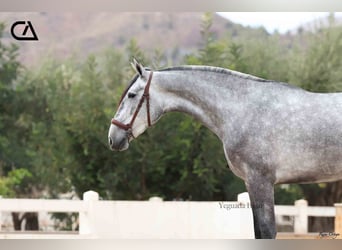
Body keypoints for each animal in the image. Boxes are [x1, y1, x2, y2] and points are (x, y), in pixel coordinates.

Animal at [108, 58, 342, 238]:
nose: (113, 137)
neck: (242, 109)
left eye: (131, 95)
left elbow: (267, 232)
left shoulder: (261, 181)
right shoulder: (251, 184)